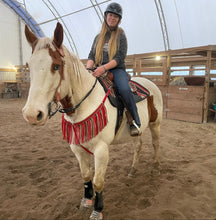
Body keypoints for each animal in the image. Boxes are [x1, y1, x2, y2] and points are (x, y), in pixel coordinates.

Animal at [22, 22, 163, 220]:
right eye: (29, 66)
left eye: (56, 66)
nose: (32, 114)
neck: (85, 102)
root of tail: (150, 83)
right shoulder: (77, 147)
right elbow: (86, 176)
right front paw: (86, 201)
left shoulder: (101, 150)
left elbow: (97, 181)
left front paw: (97, 210)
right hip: (138, 130)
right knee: (138, 146)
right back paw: (133, 170)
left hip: (156, 124)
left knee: (156, 143)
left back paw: (156, 167)